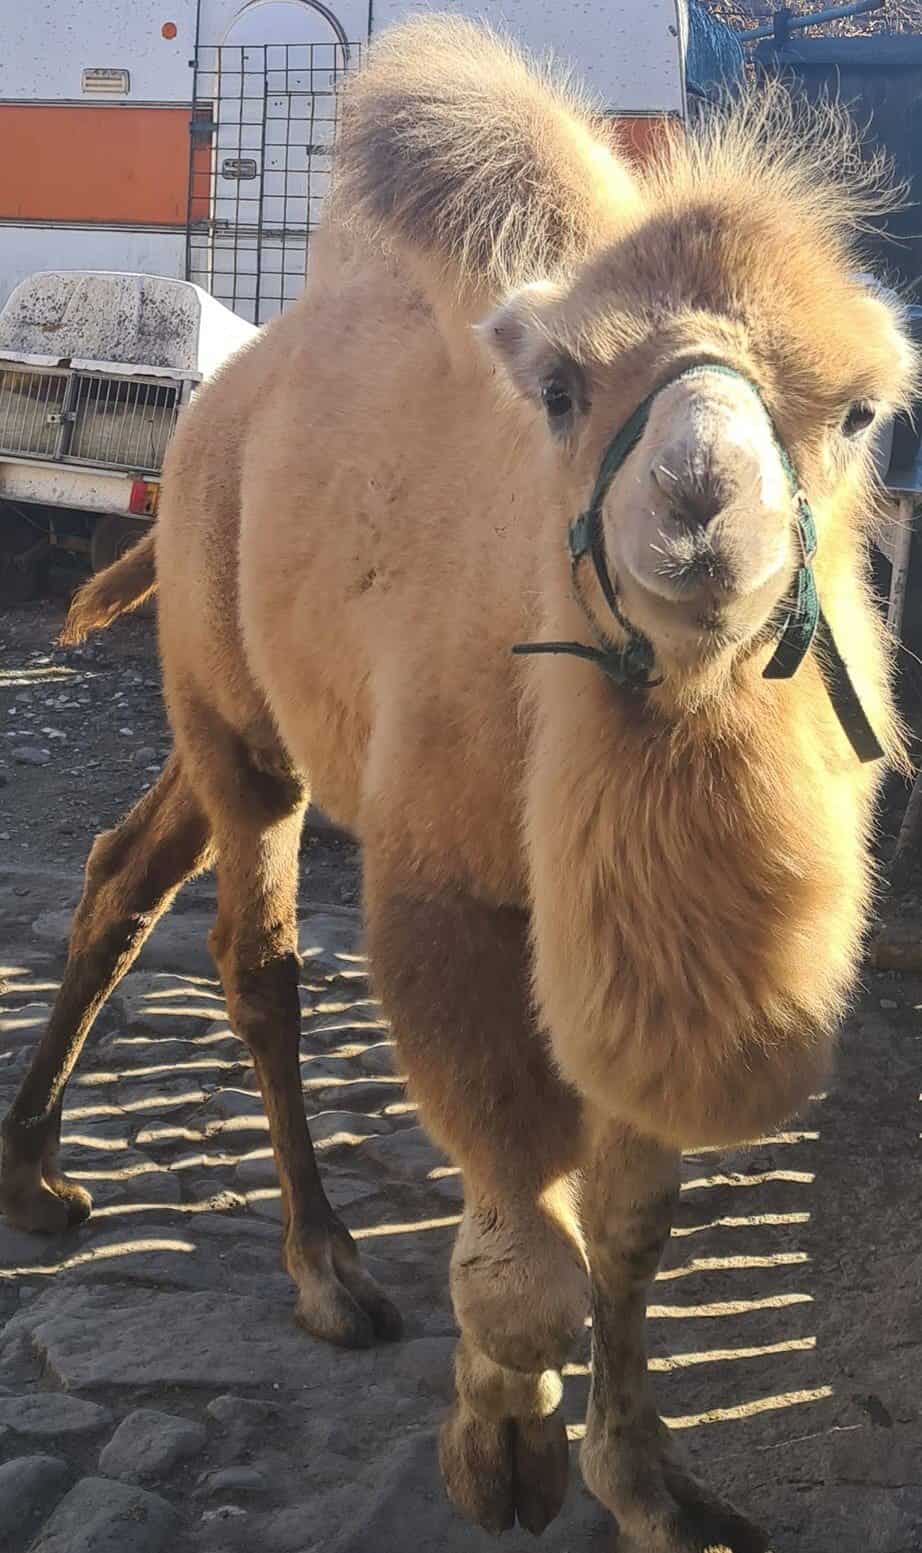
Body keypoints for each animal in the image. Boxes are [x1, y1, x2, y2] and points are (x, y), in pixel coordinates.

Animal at [3, 18, 912, 1546]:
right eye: (558, 392)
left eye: (854, 413)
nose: (698, 504)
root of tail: (214, 411)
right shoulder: (453, 889)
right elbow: (527, 1238)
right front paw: (500, 1445)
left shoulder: (628, 944)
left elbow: (630, 1218)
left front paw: (647, 1481)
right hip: (232, 711)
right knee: (256, 956)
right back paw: (326, 1268)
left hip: (236, 718)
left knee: (123, 869)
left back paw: (36, 1172)